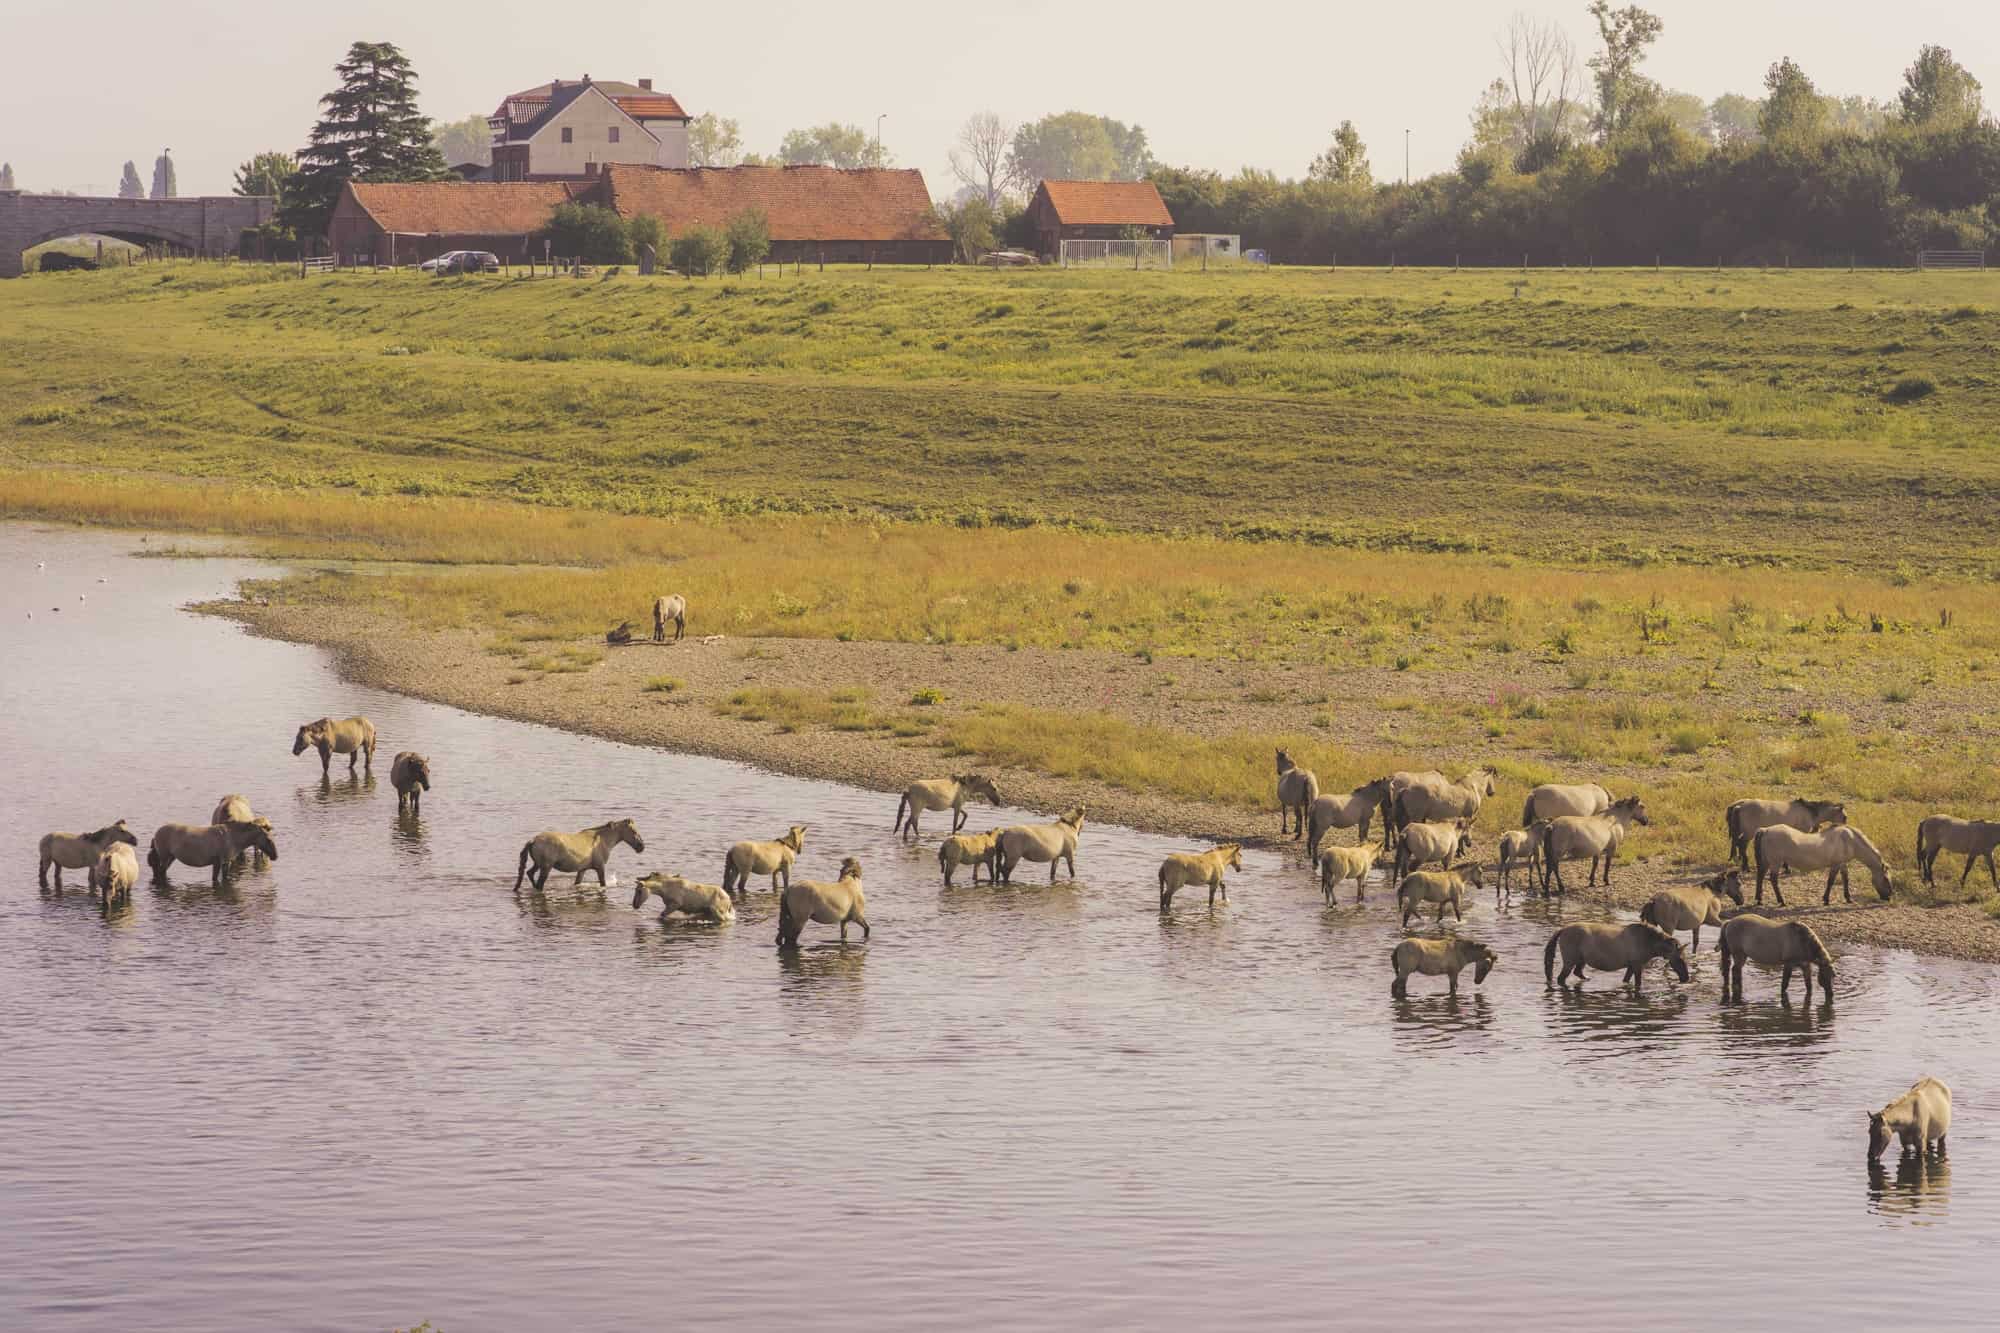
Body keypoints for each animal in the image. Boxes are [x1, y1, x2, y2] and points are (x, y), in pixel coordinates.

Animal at [148, 821, 280, 886]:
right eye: (268, 839)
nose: (275, 856)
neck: (232, 837)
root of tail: (156, 834)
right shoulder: (218, 862)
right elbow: (215, 878)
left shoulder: (226, 862)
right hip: (165, 857)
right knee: (160, 872)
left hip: (171, 858)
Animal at [513, 818, 644, 893]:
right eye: (633, 831)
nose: (641, 847)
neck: (602, 840)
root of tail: (533, 840)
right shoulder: (600, 867)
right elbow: (603, 883)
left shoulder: (582, 870)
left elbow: (577, 883)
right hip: (546, 867)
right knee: (539, 883)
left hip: (538, 864)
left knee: (529, 873)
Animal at [1543, 920, 1690, 989]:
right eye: (1680, 959)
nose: (1686, 979)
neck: (1646, 940)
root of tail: (1563, 929)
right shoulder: (1637, 966)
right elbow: (1638, 983)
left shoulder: (1631, 966)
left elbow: (1626, 980)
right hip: (1570, 961)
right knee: (1561, 979)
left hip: (1581, 960)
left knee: (1578, 972)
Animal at [1751, 824, 1891, 906]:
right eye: (1886, 879)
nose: (1888, 897)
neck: (1849, 840)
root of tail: (1766, 830)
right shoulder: (1836, 864)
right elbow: (1831, 881)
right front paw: (1826, 899)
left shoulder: (1842, 864)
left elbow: (1845, 879)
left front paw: (1848, 898)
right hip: (1775, 862)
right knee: (1773, 880)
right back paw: (1781, 901)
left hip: (1767, 862)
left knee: (1760, 877)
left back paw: (1759, 899)